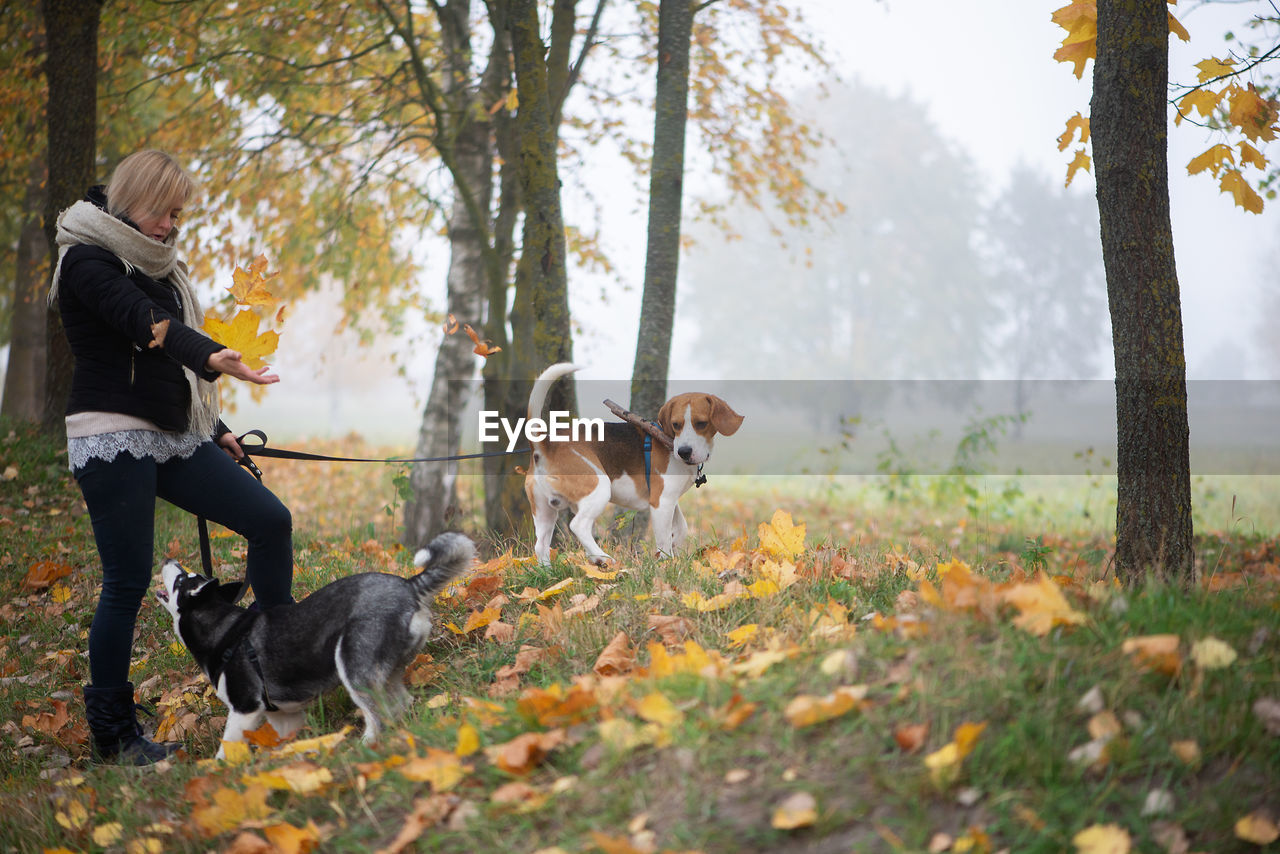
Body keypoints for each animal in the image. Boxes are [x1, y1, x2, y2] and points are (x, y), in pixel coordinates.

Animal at [157, 530, 473, 757]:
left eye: (181, 579)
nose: (168, 560)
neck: (223, 628)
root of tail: (408, 585)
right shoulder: (286, 716)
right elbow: (288, 743)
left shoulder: (245, 709)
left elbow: (226, 752)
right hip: (386, 673)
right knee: (401, 704)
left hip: (353, 670)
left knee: (377, 717)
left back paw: (364, 748)